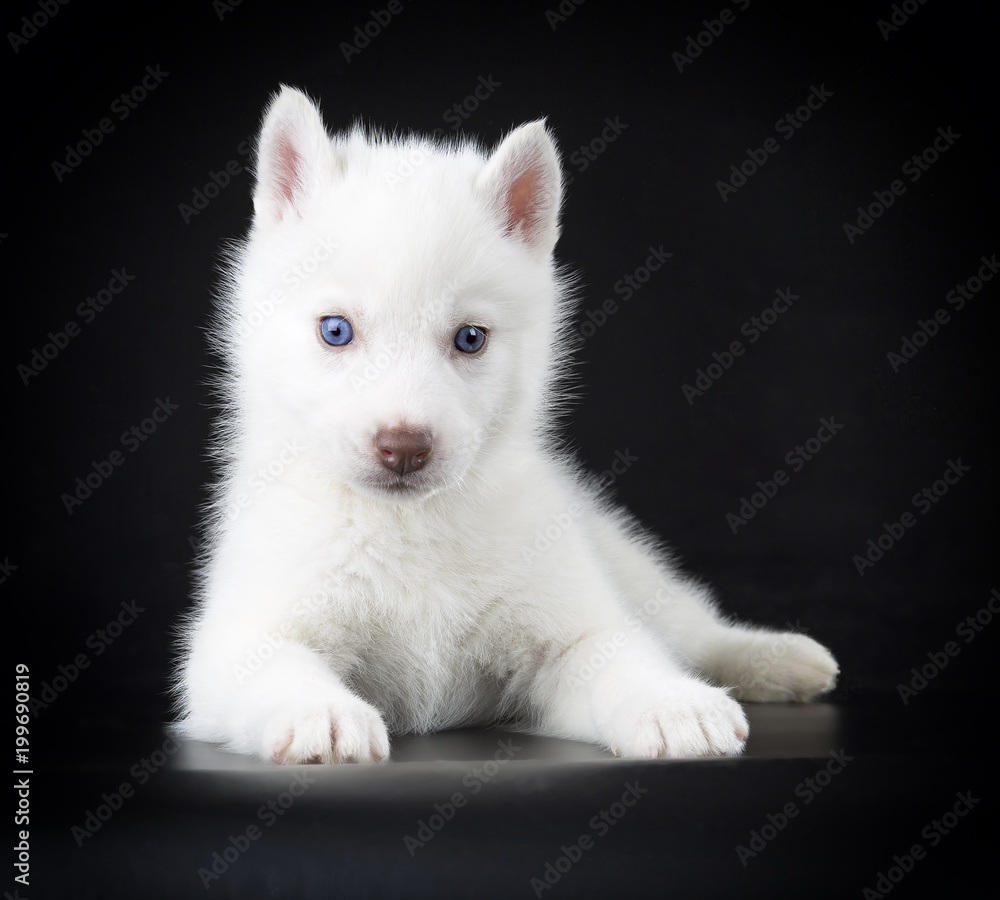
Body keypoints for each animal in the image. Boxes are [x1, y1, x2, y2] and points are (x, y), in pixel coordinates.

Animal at [174, 88, 836, 764]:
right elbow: (276, 666)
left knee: (687, 627)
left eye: (470, 338)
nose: (404, 447)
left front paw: (673, 704)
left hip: (621, 560)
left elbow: (623, 655)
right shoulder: (239, 639)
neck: (409, 527)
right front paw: (322, 714)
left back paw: (774, 657)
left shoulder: (570, 632)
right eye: (336, 330)